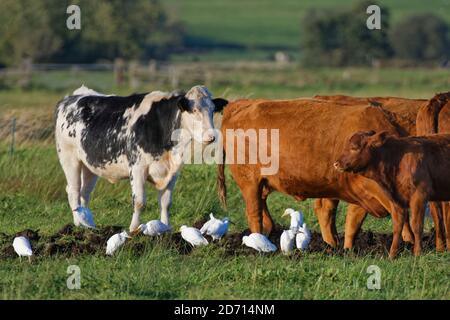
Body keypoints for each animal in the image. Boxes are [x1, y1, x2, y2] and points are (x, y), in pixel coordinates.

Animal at [54, 85, 227, 230]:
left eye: (212, 110)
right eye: (194, 110)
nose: (211, 136)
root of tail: (73, 97)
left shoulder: (172, 172)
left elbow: (166, 203)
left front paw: (166, 228)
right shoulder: (137, 168)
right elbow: (139, 202)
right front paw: (134, 229)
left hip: (90, 164)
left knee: (84, 193)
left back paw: (88, 224)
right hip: (69, 159)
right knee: (73, 191)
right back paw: (78, 225)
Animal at [216, 99, 414, 249]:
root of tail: (241, 104)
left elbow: (353, 222)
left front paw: (346, 249)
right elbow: (399, 214)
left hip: (263, 183)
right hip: (250, 183)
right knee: (254, 212)